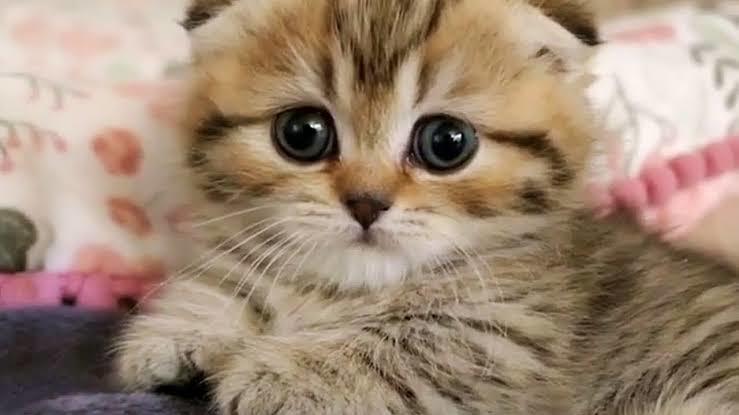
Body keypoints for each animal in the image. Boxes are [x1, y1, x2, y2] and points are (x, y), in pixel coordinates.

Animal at [114, 1, 739, 414]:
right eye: (301, 133)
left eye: (446, 143)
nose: (366, 203)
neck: (346, 291)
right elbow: (233, 275)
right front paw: (181, 327)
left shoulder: (509, 335)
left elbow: (408, 346)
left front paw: (279, 373)